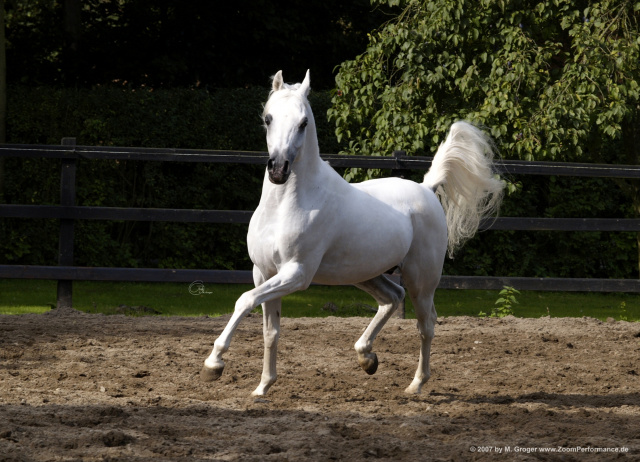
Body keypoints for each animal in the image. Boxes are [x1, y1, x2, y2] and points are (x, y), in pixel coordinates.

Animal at [202, 70, 502, 396]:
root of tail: (426, 188)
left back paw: (415, 384)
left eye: (303, 123)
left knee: (426, 325)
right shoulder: (264, 272)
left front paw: (214, 364)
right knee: (392, 298)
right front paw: (262, 387)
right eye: (268, 118)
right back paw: (366, 357)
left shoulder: (296, 274)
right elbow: (270, 330)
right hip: (366, 273)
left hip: (421, 280)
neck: (286, 205)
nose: (279, 170)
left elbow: (244, 300)